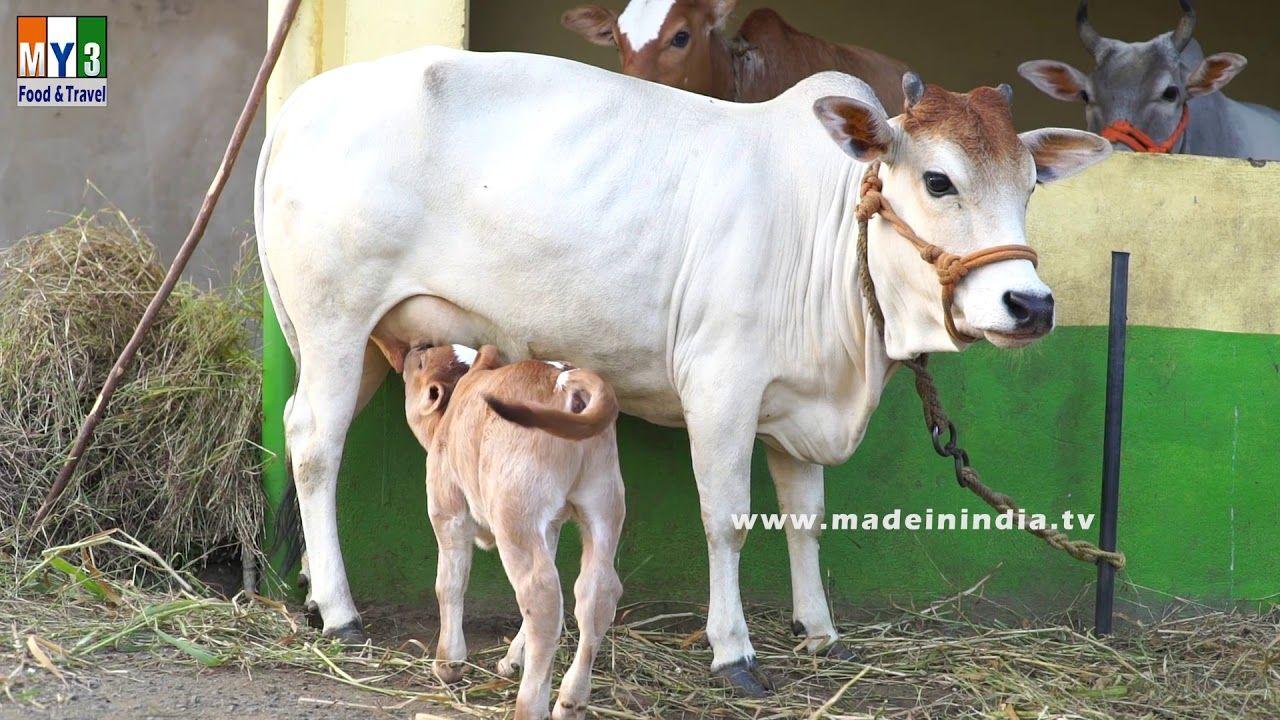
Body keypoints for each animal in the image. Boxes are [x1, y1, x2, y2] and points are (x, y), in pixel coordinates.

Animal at [256, 46, 1111, 699]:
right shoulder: (722, 386)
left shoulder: (797, 412)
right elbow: (727, 518)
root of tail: (298, 103)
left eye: (1030, 185)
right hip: (335, 320)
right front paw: (734, 651)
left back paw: (315, 593)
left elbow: (805, 516)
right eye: (938, 181)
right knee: (315, 445)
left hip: (372, 339)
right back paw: (340, 611)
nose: (1030, 303)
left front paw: (820, 629)